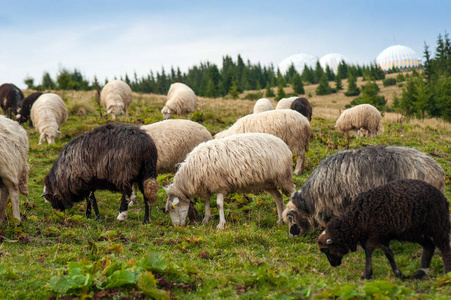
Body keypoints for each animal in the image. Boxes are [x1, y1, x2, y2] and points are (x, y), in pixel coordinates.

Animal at [165, 132, 296, 229]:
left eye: (173, 208)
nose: (176, 226)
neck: (191, 172)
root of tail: (284, 145)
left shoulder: (219, 185)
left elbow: (219, 205)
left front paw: (221, 224)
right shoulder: (207, 186)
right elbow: (207, 202)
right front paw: (206, 219)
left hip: (284, 176)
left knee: (293, 193)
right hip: (269, 183)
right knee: (278, 197)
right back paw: (280, 220)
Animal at [318, 179, 451, 280]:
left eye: (327, 250)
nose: (333, 265)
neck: (357, 219)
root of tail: (443, 197)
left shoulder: (375, 234)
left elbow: (369, 250)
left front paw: (367, 275)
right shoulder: (381, 236)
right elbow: (388, 253)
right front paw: (398, 274)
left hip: (438, 225)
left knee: (444, 246)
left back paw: (446, 273)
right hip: (417, 232)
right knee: (429, 247)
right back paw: (419, 274)